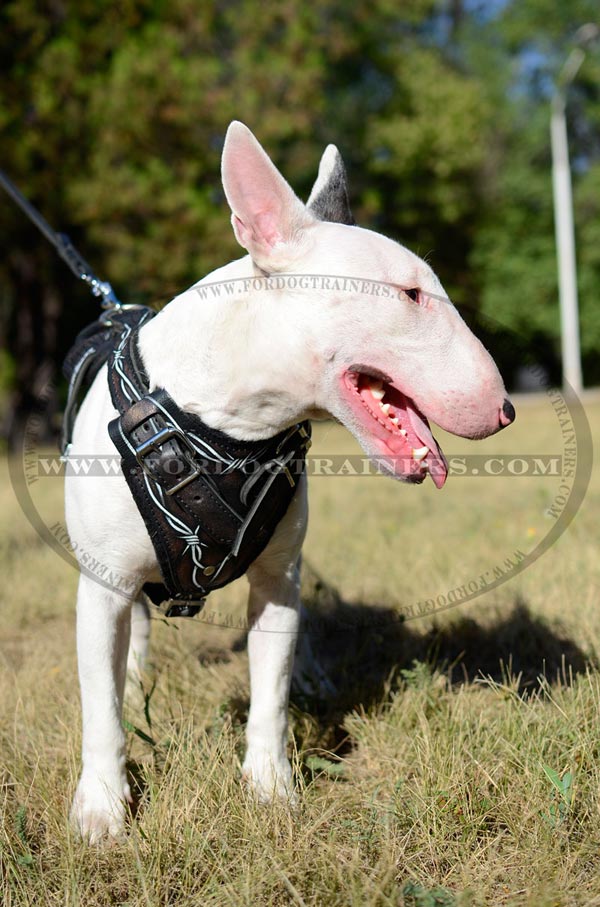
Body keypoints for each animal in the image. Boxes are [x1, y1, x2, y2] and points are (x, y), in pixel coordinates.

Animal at [67, 122, 516, 844]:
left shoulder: (276, 576)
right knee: (130, 637)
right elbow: (100, 704)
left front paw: (272, 786)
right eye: (411, 295)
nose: (504, 410)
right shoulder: (103, 581)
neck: (227, 426)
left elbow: (271, 688)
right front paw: (103, 806)